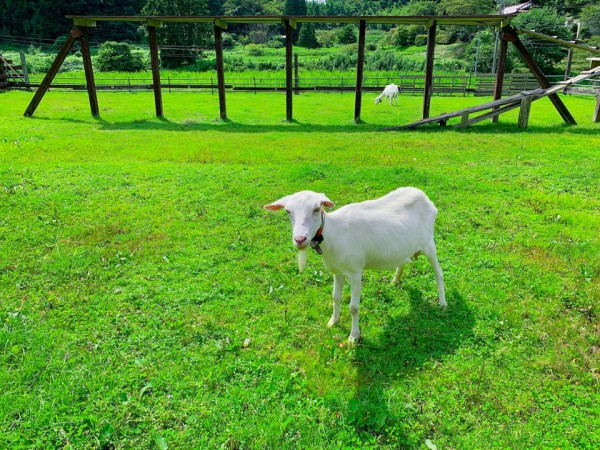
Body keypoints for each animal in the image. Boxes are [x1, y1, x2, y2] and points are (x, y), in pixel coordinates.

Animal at [266, 188, 446, 342]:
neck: (333, 234)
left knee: (439, 273)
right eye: (288, 212)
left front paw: (353, 337)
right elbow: (335, 297)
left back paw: (442, 303)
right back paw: (395, 281)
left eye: (317, 209)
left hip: (428, 242)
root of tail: (424, 196)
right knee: (402, 261)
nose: (300, 239)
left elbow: (353, 307)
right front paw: (333, 321)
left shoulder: (355, 272)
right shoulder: (337, 271)